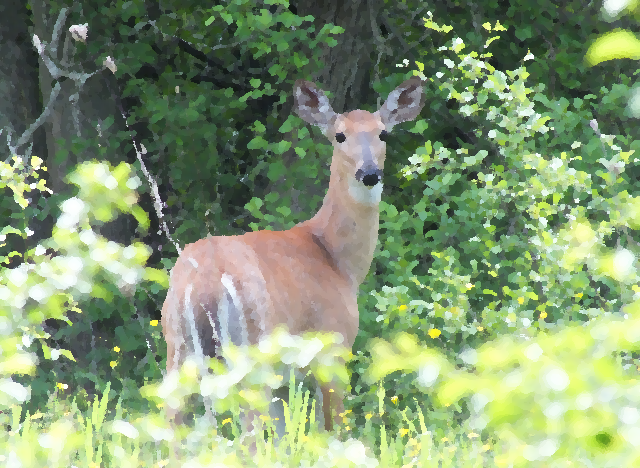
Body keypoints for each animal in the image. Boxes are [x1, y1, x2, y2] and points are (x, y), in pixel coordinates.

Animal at [159, 75, 424, 452]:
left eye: (383, 133)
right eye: (339, 135)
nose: (370, 173)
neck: (336, 259)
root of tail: (205, 283)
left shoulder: (285, 380)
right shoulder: (334, 346)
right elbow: (332, 432)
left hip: (177, 350)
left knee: (172, 428)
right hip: (250, 351)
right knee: (249, 436)